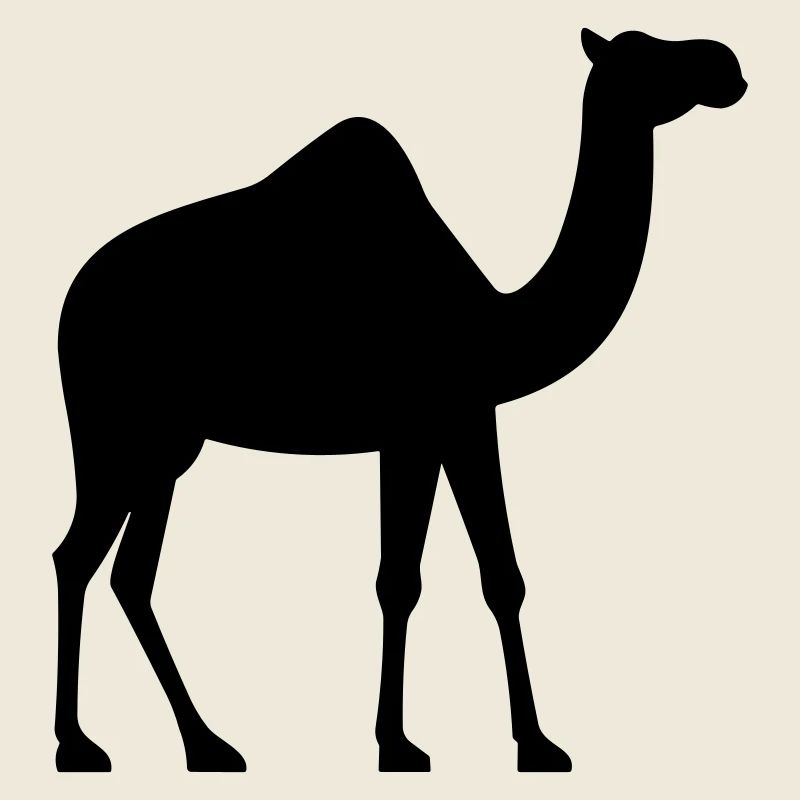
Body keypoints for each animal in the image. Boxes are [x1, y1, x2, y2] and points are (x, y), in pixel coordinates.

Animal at [53, 28, 746, 773]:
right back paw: (79, 745)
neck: (499, 323)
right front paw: (401, 745)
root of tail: (69, 304)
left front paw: (530, 743)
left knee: (130, 574)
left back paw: (206, 745)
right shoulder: (424, 423)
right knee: (77, 557)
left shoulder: (458, 420)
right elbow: (402, 580)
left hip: (170, 445)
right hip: (113, 429)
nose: (726, 63)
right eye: (644, 57)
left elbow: (496, 576)